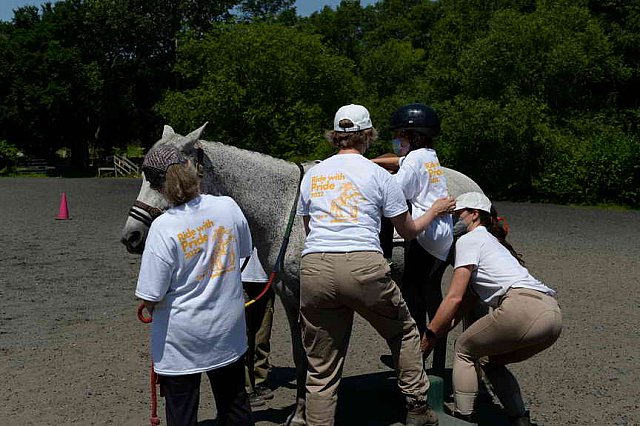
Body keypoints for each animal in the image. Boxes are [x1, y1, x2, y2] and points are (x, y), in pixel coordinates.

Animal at [120, 124, 482, 426]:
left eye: (160, 179)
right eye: (144, 176)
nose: (131, 237)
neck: (285, 211)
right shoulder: (289, 293)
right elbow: (301, 355)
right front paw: (298, 413)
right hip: (422, 278)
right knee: (433, 312)